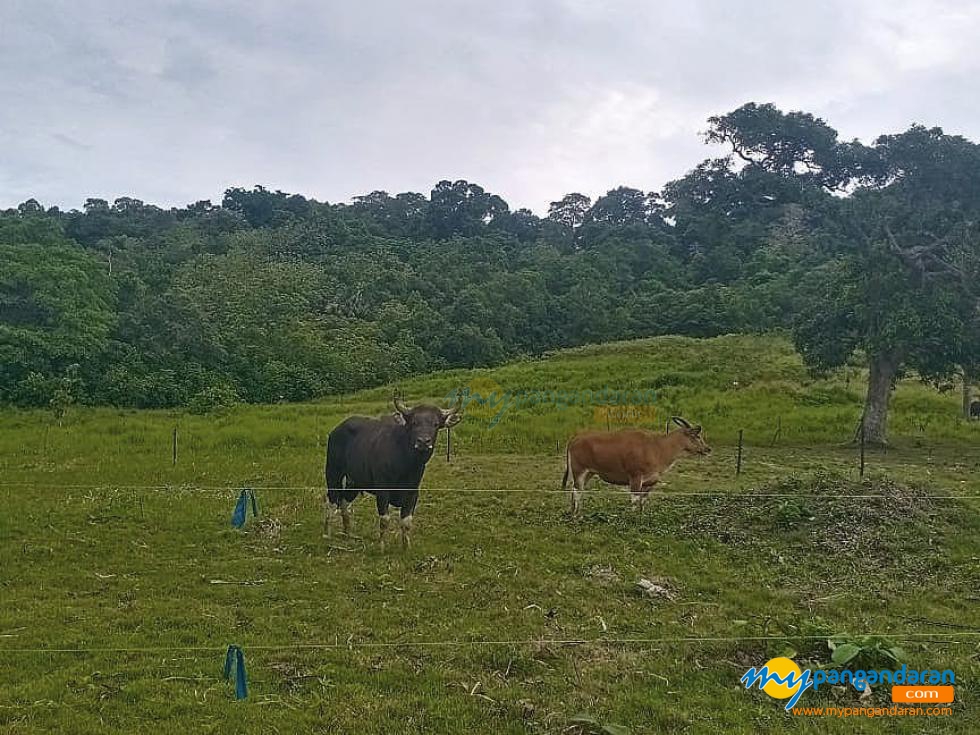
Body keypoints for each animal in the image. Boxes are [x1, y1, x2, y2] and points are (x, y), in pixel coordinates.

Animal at [322, 396, 460, 548]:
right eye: (414, 422)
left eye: (435, 424)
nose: (423, 441)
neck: (406, 465)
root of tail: (336, 430)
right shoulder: (382, 491)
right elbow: (385, 520)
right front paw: (381, 546)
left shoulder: (413, 493)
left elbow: (406, 522)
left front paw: (406, 547)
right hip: (333, 472)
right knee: (332, 501)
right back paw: (327, 533)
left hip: (354, 481)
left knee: (344, 502)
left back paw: (348, 533)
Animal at [560, 416, 712, 516]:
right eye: (697, 436)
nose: (708, 449)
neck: (658, 447)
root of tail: (575, 439)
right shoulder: (635, 477)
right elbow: (634, 499)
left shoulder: (649, 482)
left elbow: (642, 501)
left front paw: (641, 516)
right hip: (579, 470)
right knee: (576, 490)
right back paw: (577, 515)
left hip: (589, 473)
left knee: (577, 490)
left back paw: (575, 511)